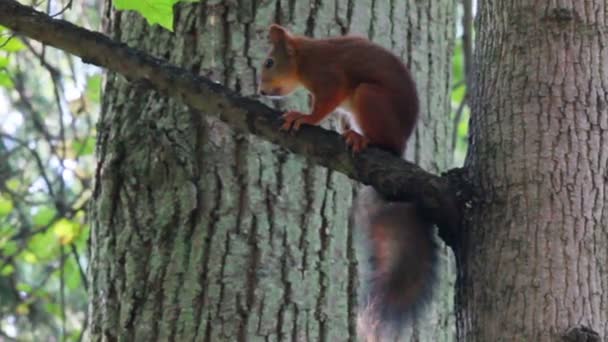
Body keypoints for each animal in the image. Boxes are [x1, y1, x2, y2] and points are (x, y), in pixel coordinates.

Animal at [256, 24, 436, 340]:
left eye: (269, 62)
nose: (261, 90)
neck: (306, 57)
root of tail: (400, 147)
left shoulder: (329, 77)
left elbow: (325, 104)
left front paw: (303, 117)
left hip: (369, 97)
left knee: (380, 137)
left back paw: (361, 138)